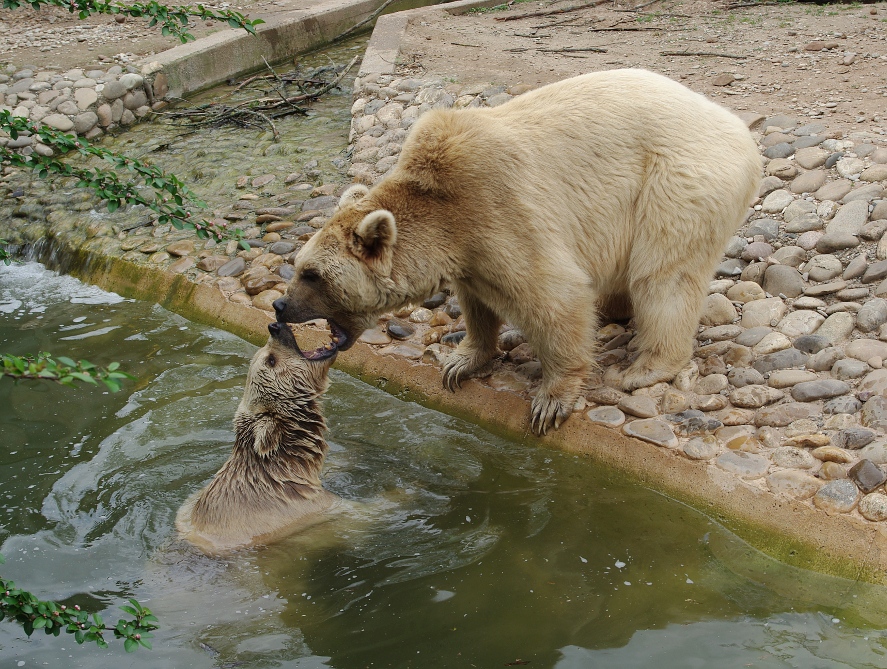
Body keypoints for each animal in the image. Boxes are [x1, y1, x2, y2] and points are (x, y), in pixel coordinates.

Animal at [272, 68, 764, 434]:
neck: (446, 214)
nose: (279, 305)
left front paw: (551, 400)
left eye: (312, 274)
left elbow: (555, 297)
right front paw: (461, 361)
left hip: (676, 182)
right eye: (298, 266)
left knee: (663, 276)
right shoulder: (471, 252)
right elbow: (479, 302)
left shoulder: (501, 210)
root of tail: (740, 130)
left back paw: (644, 367)